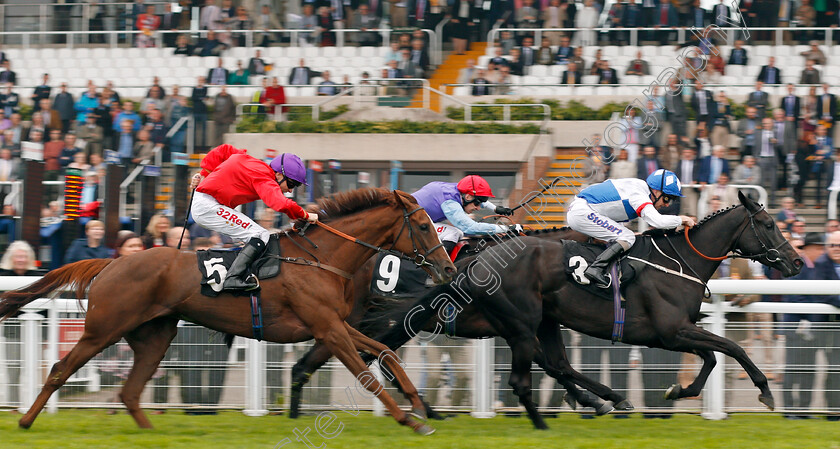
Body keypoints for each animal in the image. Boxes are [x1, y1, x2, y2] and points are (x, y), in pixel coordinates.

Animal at [0, 189, 456, 434]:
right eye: (423, 225)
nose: (448, 268)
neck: (322, 258)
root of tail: (112, 262)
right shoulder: (327, 329)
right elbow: (367, 375)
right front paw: (410, 420)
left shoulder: (336, 325)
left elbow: (387, 353)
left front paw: (421, 408)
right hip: (104, 329)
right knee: (60, 368)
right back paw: (25, 422)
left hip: (156, 335)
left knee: (130, 391)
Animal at [366, 192, 800, 420]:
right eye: (768, 225)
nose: (796, 262)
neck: (677, 262)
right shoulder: (670, 331)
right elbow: (731, 347)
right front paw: (765, 390)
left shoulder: (676, 333)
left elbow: (712, 356)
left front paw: (678, 390)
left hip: (541, 319)